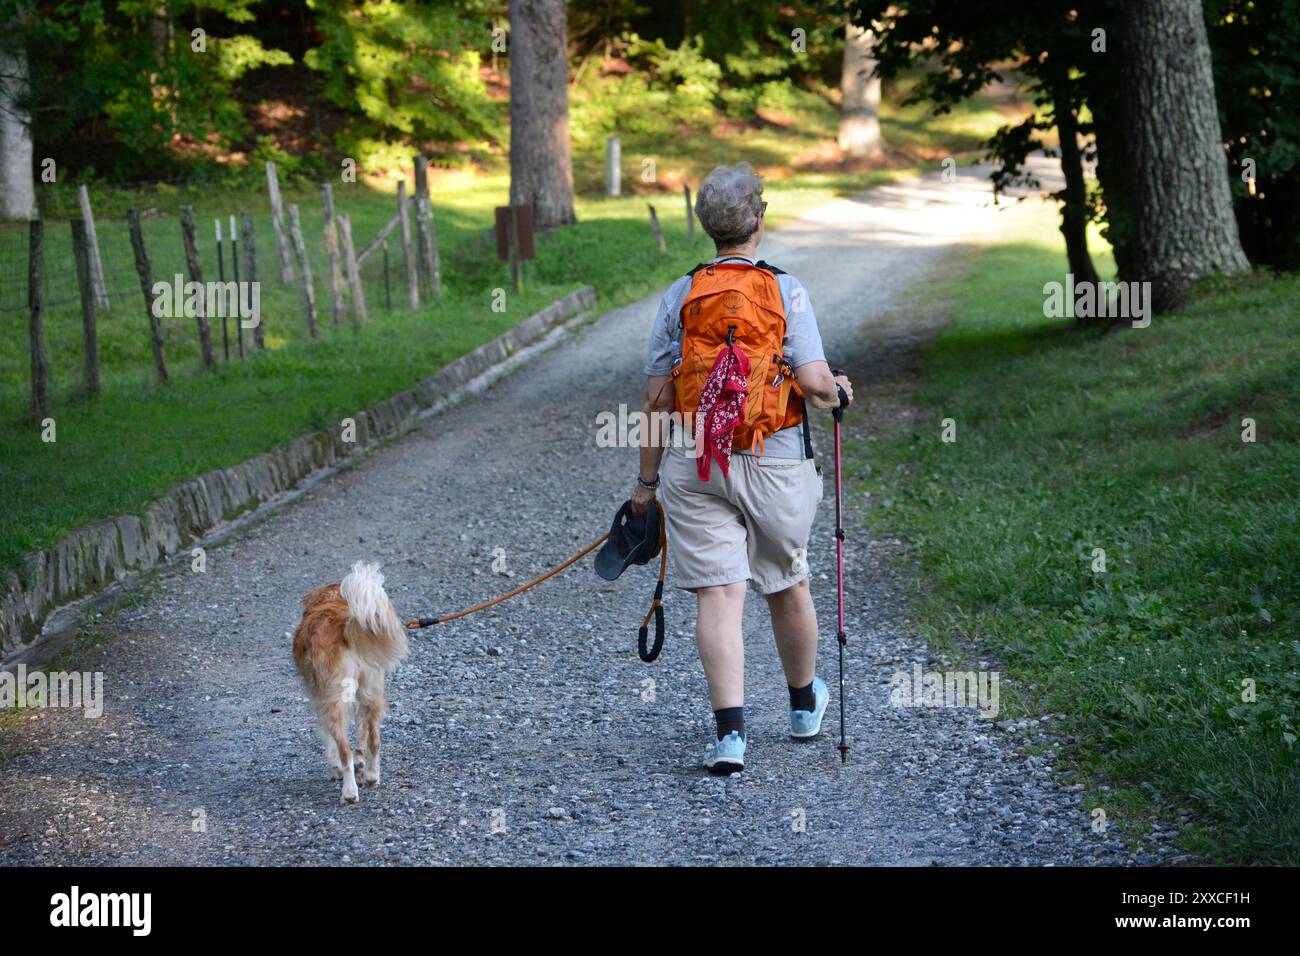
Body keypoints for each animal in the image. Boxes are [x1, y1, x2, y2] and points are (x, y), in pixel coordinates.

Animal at [292, 564, 408, 806]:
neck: (330, 600)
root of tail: (344, 628)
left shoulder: (320, 699)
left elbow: (328, 739)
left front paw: (335, 769)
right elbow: (361, 735)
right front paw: (361, 766)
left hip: (334, 701)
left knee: (344, 749)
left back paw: (349, 791)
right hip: (371, 692)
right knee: (374, 739)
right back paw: (372, 776)